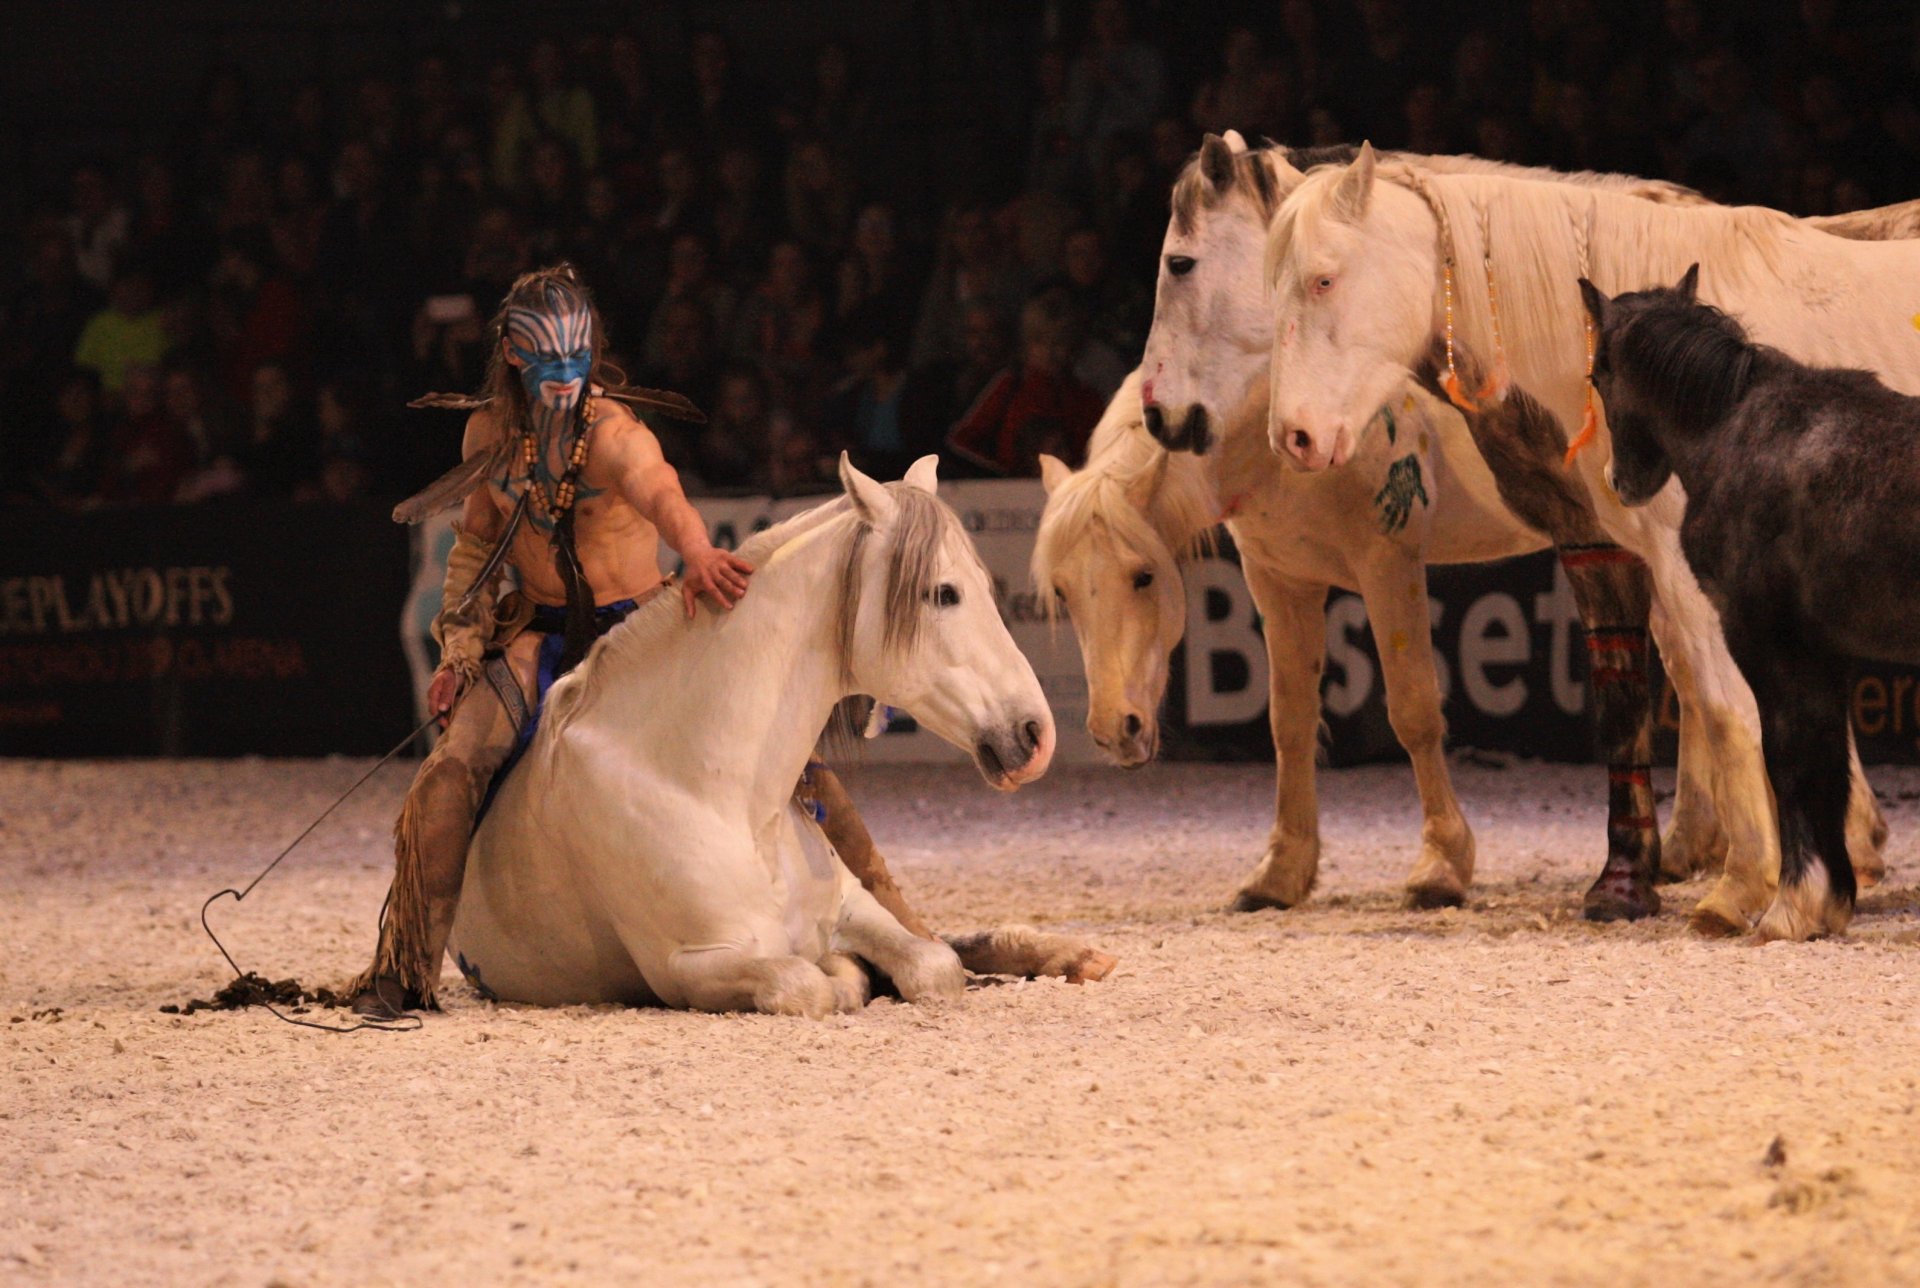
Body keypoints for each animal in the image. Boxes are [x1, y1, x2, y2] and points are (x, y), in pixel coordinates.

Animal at [443, 456, 1059, 1021]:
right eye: (944, 593)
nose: (1037, 733)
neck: (715, 794)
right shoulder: (690, 966)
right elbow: (805, 984)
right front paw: (838, 978)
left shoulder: (852, 906)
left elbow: (935, 965)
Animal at [1574, 266, 1920, 940]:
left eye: (1598, 374)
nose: (1619, 482)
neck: (1738, 432)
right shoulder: (1819, 652)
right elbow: (1824, 764)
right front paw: (1827, 902)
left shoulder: (1767, 642)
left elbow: (1791, 759)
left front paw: (1792, 908)